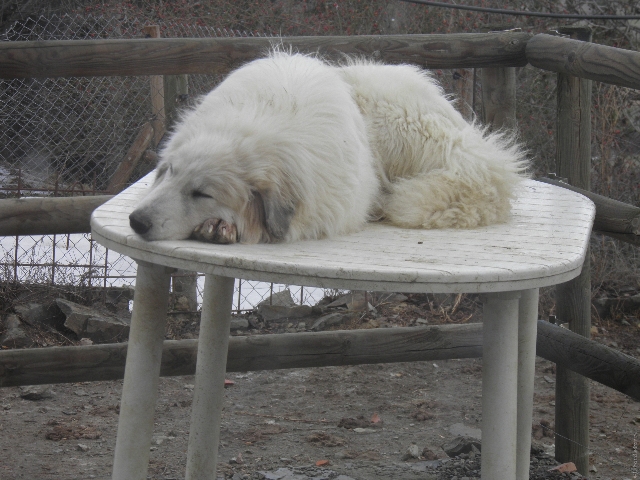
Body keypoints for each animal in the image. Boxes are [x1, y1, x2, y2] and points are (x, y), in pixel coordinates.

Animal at [129, 50, 524, 244]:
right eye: (168, 174)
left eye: (202, 194)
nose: (136, 221)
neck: (254, 122)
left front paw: (219, 227)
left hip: (395, 119)